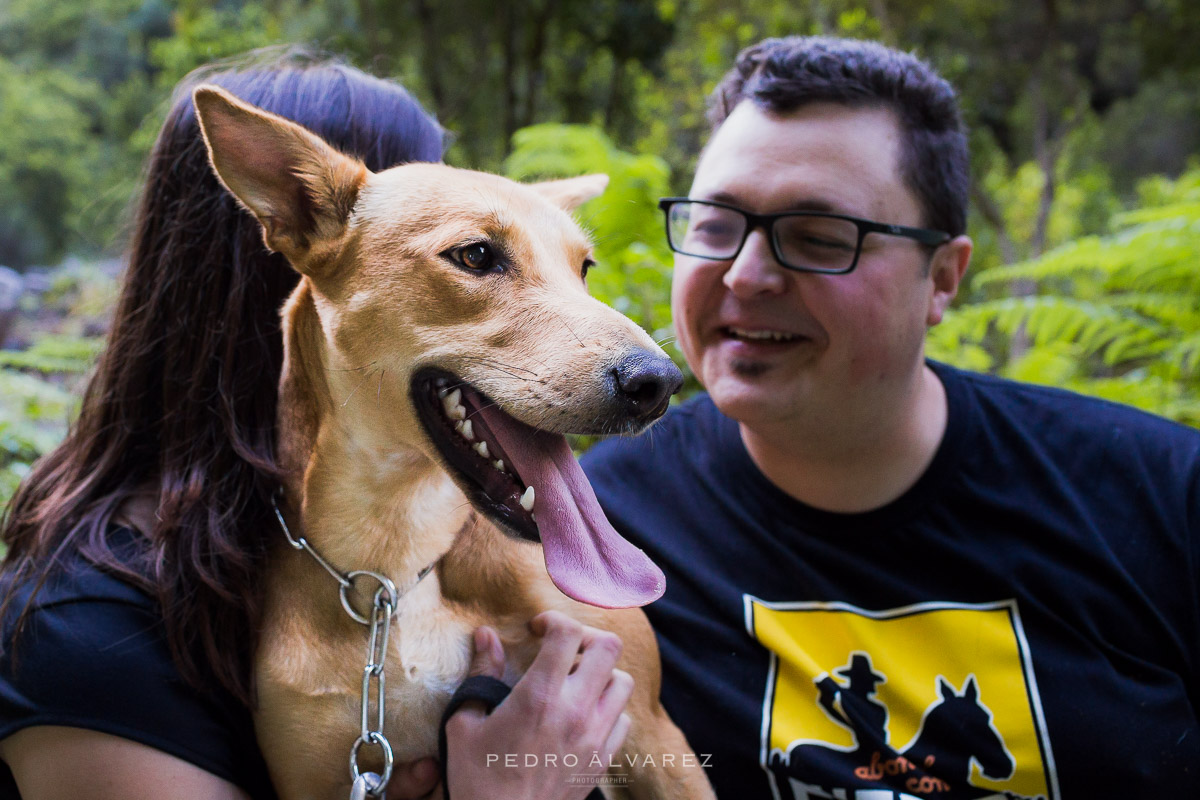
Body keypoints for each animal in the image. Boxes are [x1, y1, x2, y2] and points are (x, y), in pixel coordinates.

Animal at [193, 87, 715, 800]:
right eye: (475, 256)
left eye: (584, 269)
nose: (658, 383)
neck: (394, 570)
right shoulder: (319, 775)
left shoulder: (658, 737)